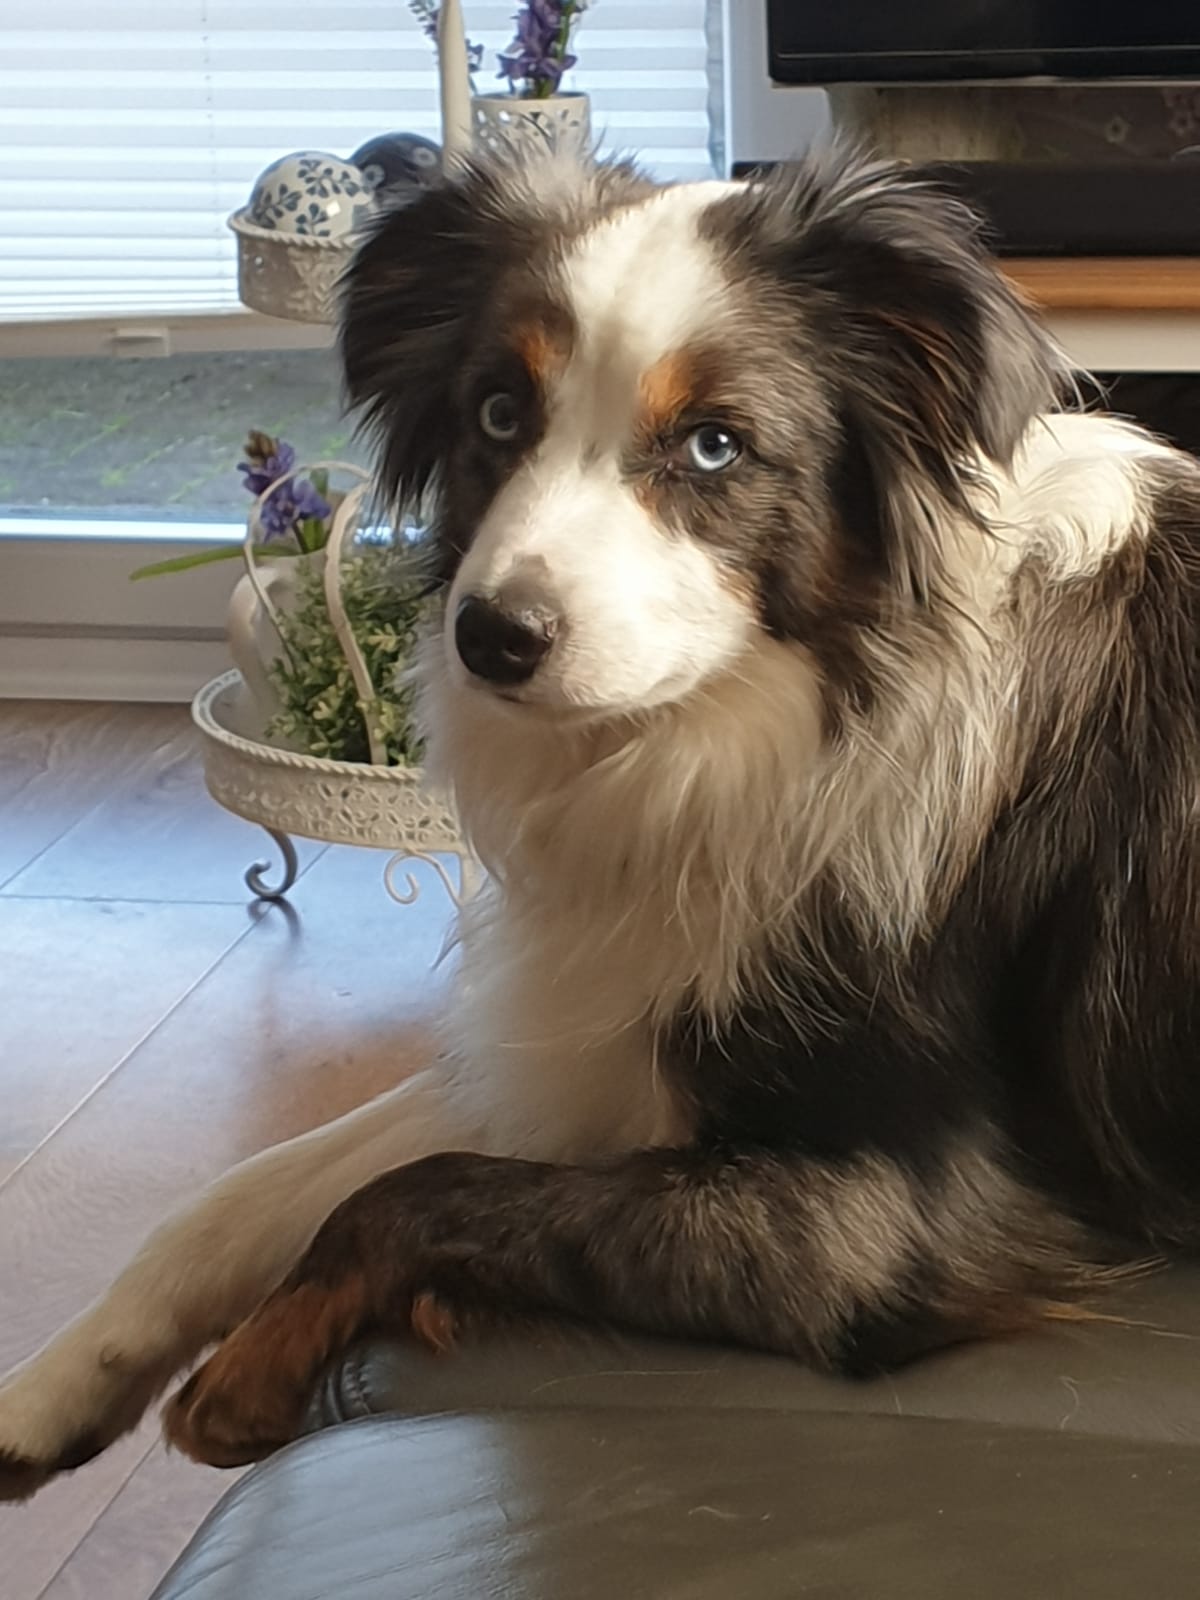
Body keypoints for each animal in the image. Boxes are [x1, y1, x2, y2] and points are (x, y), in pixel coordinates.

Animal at [0, 147, 1196, 1495]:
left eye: (716, 446)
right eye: (497, 415)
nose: (490, 640)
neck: (759, 720)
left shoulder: (879, 1221)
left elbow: (416, 1184)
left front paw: (249, 1369)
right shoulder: (586, 1029)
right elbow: (246, 1189)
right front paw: (52, 1387)